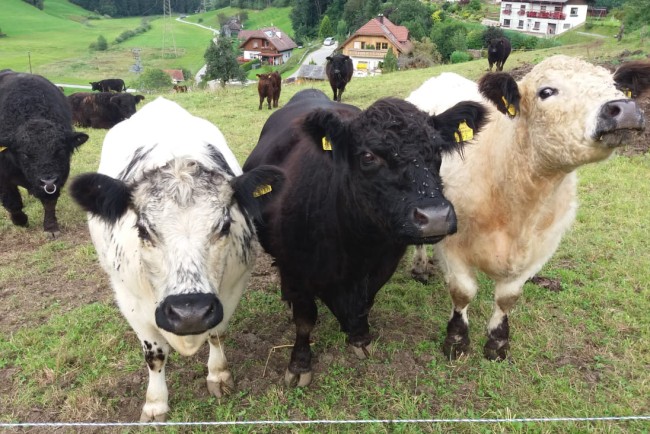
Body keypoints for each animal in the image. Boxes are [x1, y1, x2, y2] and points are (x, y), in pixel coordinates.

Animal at [0, 70, 89, 236]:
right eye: (25, 154)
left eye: (59, 150)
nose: (47, 181)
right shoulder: (3, 178)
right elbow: (12, 202)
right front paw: (20, 220)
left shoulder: (59, 176)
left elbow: (49, 202)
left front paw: (50, 227)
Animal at [69, 97, 284, 421]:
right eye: (143, 229)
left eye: (224, 225)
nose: (189, 312)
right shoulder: (130, 302)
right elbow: (155, 356)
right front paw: (155, 404)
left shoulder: (232, 289)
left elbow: (216, 334)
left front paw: (218, 375)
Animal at [243, 88, 487, 387]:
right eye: (368, 156)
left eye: (437, 150)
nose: (435, 216)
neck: (353, 242)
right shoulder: (295, 269)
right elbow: (305, 319)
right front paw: (299, 364)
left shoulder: (385, 261)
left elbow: (365, 303)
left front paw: (359, 337)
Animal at [406, 56, 649, 361]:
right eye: (546, 91)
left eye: (615, 86)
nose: (624, 108)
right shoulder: (452, 245)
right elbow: (462, 292)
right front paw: (456, 341)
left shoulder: (539, 248)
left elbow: (508, 297)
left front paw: (497, 343)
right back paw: (420, 268)